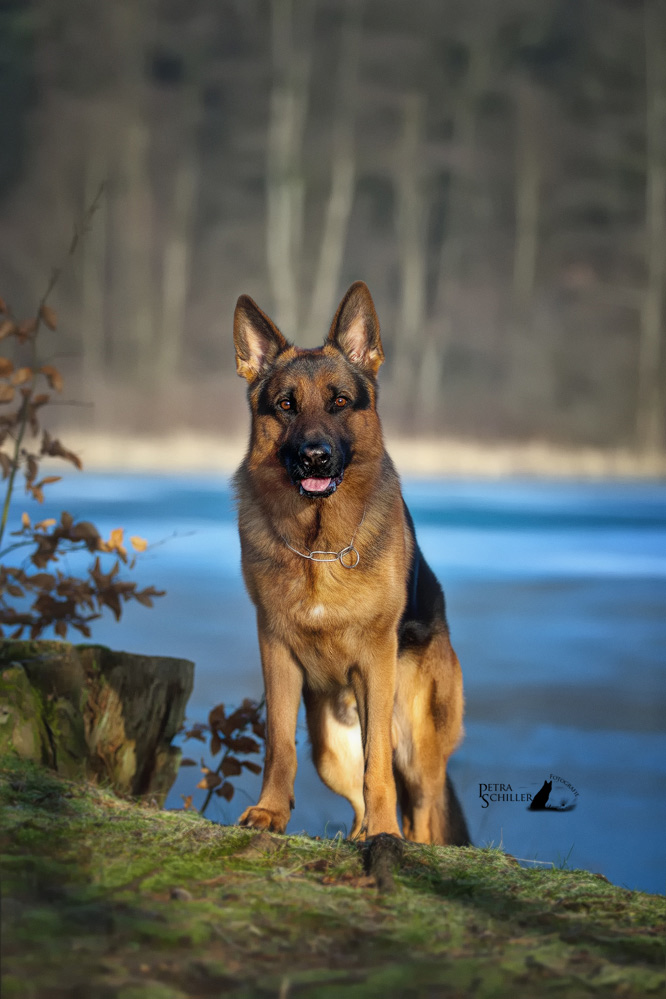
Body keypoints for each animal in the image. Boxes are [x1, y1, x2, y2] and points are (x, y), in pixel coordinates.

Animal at [232, 282, 466, 844]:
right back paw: (361, 835)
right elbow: (278, 743)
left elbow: (377, 763)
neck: (319, 545)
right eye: (286, 405)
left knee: (420, 807)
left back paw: (396, 837)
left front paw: (386, 834)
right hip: (329, 747)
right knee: (354, 792)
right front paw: (270, 812)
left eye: (339, 402)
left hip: (417, 743)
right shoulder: (276, 653)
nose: (314, 457)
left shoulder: (376, 666)